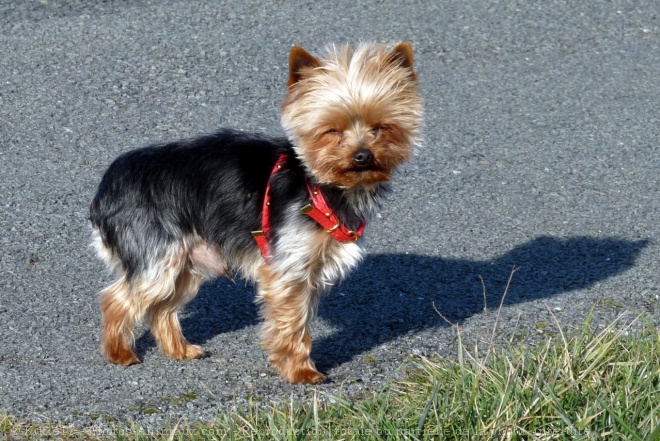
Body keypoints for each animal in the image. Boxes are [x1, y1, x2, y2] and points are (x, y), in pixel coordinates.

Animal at [89, 43, 422, 384]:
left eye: (381, 128)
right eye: (331, 131)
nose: (362, 156)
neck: (320, 185)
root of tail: (108, 185)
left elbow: (300, 319)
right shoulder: (290, 269)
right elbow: (293, 323)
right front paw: (301, 371)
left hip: (188, 261)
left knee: (161, 307)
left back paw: (179, 350)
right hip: (158, 254)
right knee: (118, 298)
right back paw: (119, 352)